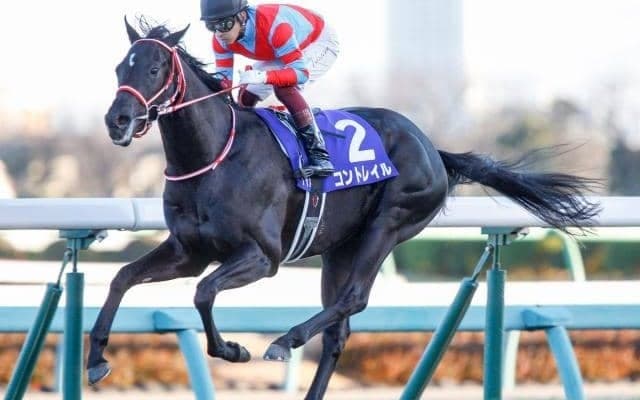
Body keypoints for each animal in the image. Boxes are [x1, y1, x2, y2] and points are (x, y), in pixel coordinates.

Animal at [91, 18, 600, 399]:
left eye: (155, 68)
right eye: (119, 67)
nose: (118, 120)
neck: (214, 156)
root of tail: (433, 148)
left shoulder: (261, 257)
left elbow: (202, 293)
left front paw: (235, 350)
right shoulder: (188, 252)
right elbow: (123, 278)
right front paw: (96, 359)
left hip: (390, 223)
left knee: (353, 298)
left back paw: (285, 340)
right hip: (339, 247)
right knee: (339, 328)